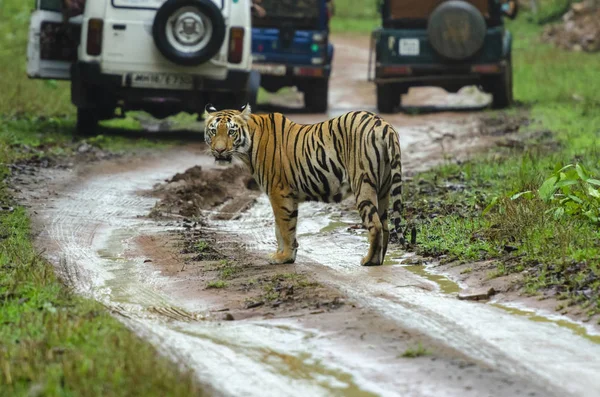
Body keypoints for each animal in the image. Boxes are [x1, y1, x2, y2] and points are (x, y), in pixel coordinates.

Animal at [204, 104, 406, 266]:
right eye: (213, 131)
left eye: (231, 131)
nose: (219, 151)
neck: (248, 146)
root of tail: (383, 124)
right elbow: (281, 228)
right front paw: (285, 255)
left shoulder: (279, 192)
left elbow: (284, 227)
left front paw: (283, 257)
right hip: (383, 188)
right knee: (385, 225)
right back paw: (379, 259)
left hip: (363, 183)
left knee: (375, 224)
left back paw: (369, 261)